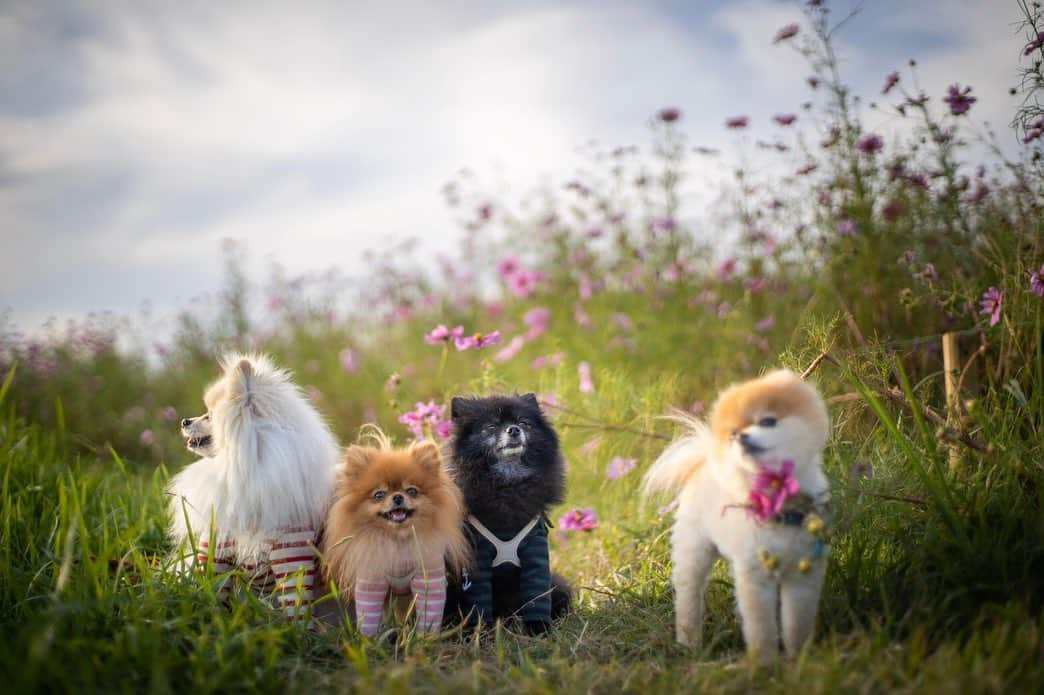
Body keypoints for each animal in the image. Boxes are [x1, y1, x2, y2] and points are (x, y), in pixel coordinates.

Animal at [167, 354, 338, 613]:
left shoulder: (291, 552)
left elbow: (295, 601)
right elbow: (212, 586)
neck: (236, 469)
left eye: (210, 415)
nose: (184, 421)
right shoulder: (216, 544)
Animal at [321, 429, 469, 634]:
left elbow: (429, 614)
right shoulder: (372, 581)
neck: (397, 540)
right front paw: (368, 639)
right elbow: (368, 617)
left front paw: (426, 637)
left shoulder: (428, 579)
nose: (398, 497)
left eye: (412, 491)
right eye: (379, 495)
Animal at [442, 392, 572, 630]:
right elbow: (479, 604)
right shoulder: (477, 560)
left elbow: (537, 597)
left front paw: (539, 630)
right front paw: (480, 632)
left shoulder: (536, 555)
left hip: (558, 586)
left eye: (524, 423)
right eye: (491, 427)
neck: (508, 484)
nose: (513, 429)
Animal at [643, 365, 831, 659]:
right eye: (733, 434)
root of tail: (704, 463)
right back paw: (689, 644)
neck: (778, 507)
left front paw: (799, 658)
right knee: (688, 595)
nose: (740, 437)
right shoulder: (754, 575)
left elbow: (796, 624)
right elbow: (761, 627)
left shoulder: (804, 572)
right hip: (693, 549)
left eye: (768, 421)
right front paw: (765, 662)